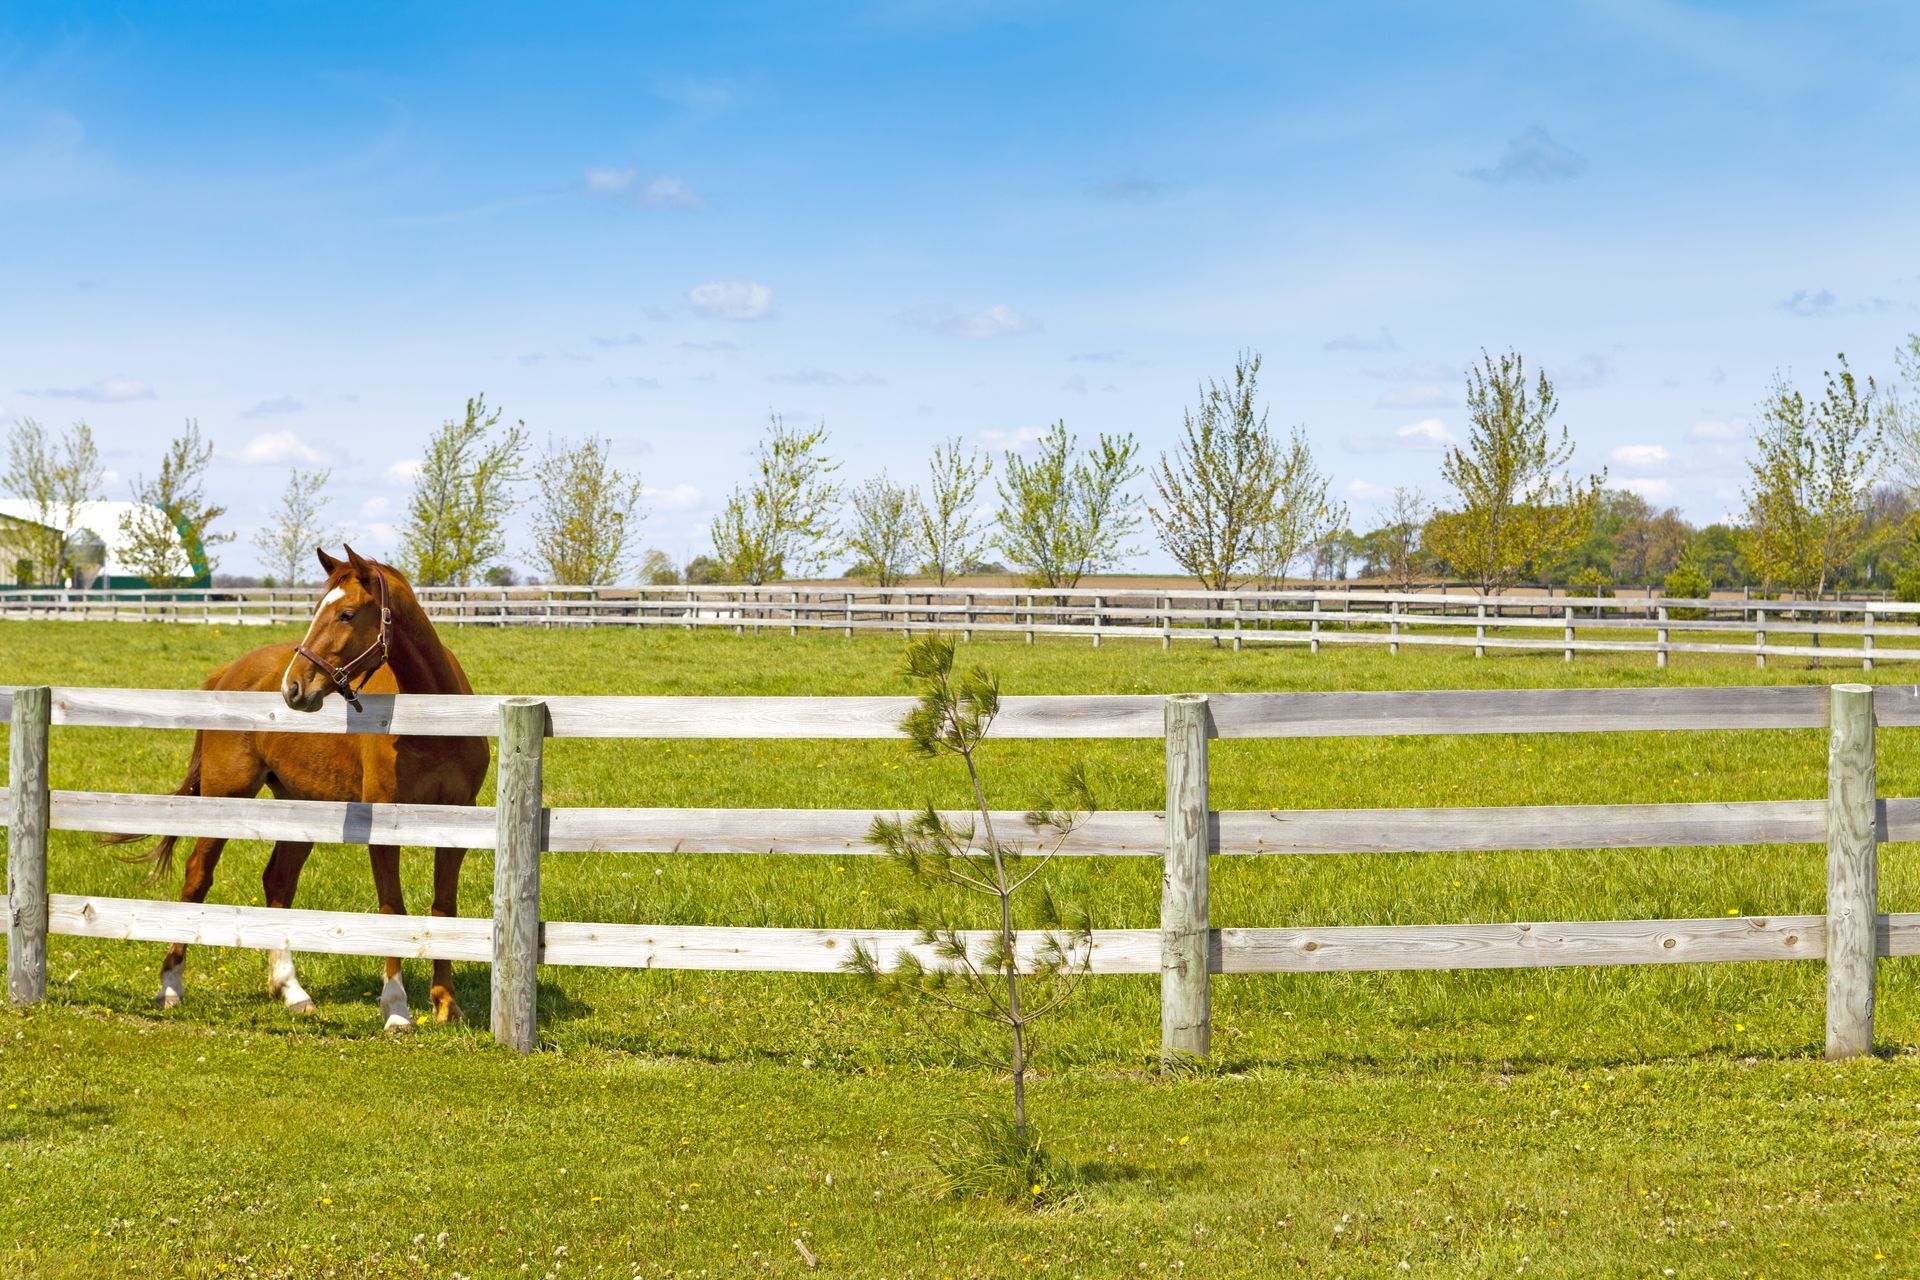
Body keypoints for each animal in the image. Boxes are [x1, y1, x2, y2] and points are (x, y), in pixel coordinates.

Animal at [106, 547, 489, 1030]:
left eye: (346, 614)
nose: (294, 687)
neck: (435, 720)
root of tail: (229, 672)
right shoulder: (383, 824)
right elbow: (392, 910)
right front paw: (397, 1009)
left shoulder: (458, 824)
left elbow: (443, 908)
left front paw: (445, 1003)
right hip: (226, 797)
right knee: (197, 877)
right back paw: (171, 986)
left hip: (299, 806)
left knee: (278, 882)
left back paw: (291, 990)